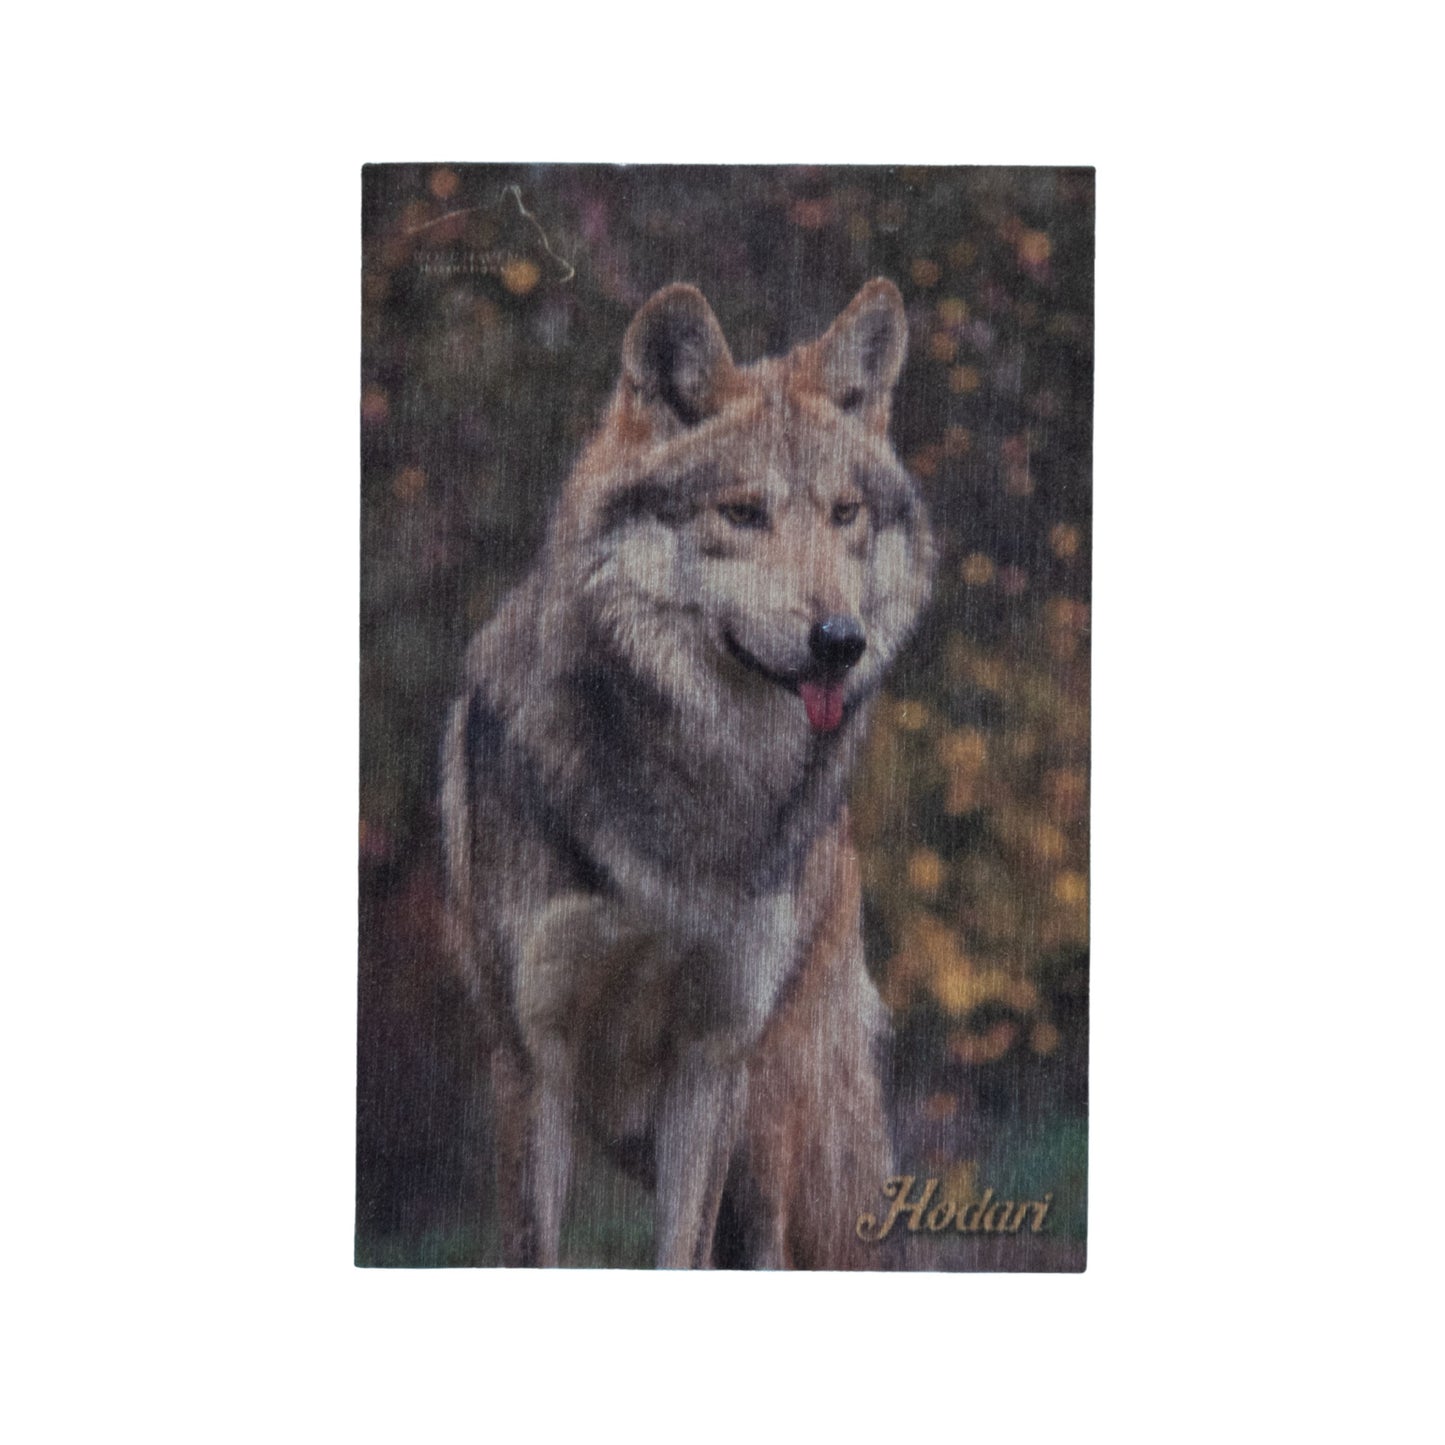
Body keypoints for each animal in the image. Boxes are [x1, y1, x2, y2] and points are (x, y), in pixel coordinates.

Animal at [440, 278, 934, 1268]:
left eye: (844, 514)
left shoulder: (714, 1061)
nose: (841, 641)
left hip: (775, 1125)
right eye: (741, 513)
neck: (701, 774)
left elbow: (681, 1254)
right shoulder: (533, 1061)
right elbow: (534, 1249)